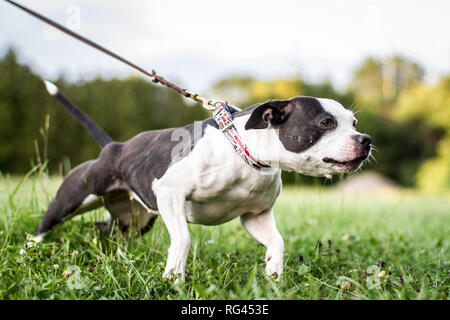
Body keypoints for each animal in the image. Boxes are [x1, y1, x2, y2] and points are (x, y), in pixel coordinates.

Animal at [29, 80, 370, 280]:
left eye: (354, 122)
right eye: (326, 122)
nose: (365, 139)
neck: (242, 151)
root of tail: (114, 147)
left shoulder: (256, 216)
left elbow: (278, 242)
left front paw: (273, 274)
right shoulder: (170, 194)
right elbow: (183, 239)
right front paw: (173, 279)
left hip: (134, 219)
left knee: (106, 228)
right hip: (74, 196)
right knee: (45, 224)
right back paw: (28, 250)